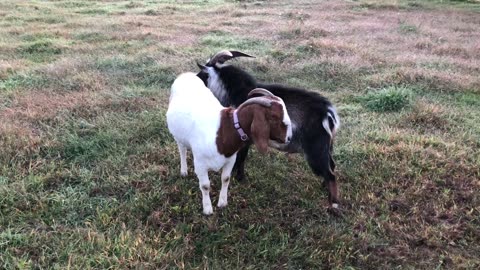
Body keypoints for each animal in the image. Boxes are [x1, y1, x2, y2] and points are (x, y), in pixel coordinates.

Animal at [165, 72, 292, 215]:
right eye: (274, 116)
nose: (288, 138)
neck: (223, 131)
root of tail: (186, 74)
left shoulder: (230, 159)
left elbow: (225, 178)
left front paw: (222, 202)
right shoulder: (200, 163)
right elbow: (205, 185)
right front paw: (207, 209)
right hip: (178, 135)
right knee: (181, 149)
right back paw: (184, 171)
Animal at [196, 50, 342, 208]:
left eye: (202, 73)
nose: (194, 79)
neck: (240, 92)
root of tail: (329, 114)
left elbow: (241, 157)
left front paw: (239, 177)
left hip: (315, 150)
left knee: (330, 174)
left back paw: (333, 204)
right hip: (326, 147)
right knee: (332, 165)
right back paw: (324, 187)